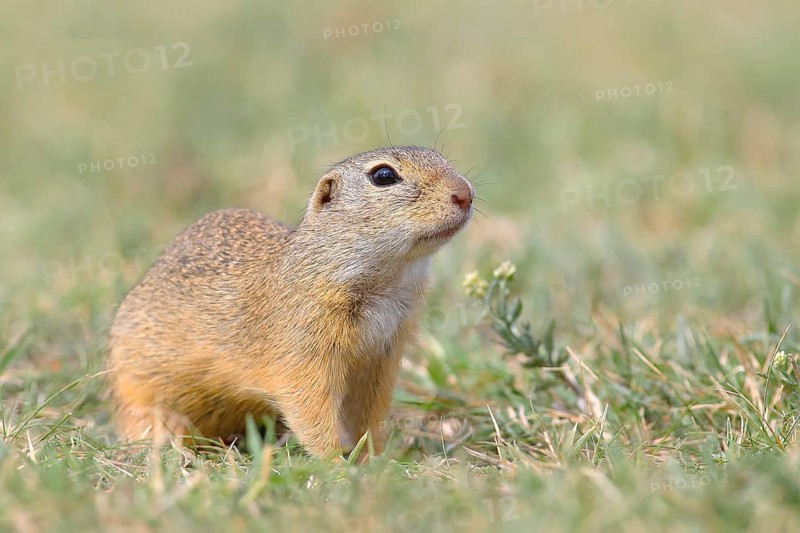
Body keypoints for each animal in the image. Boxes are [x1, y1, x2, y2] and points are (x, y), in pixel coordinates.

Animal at [106, 145, 474, 459]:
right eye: (383, 175)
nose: (465, 193)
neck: (385, 282)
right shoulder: (303, 352)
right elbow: (310, 409)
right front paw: (336, 465)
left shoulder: (381, 359)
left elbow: (368, 414)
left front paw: (374, 459)